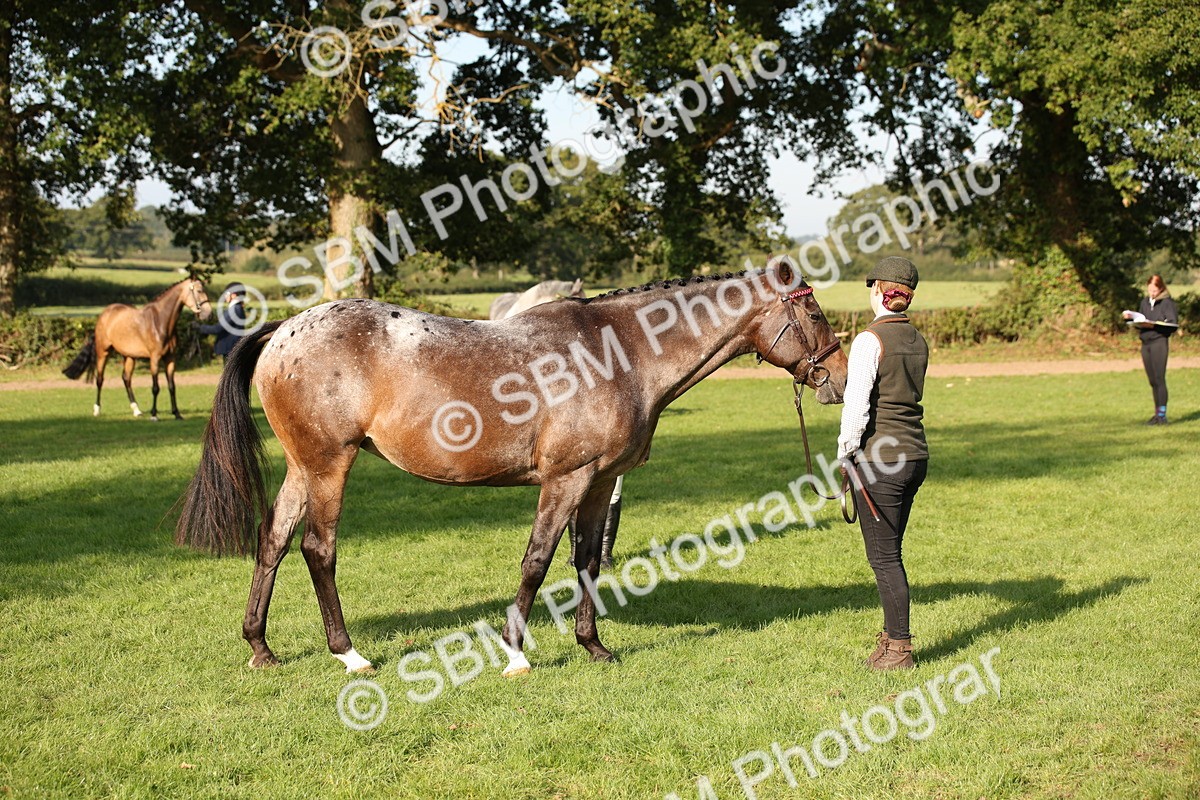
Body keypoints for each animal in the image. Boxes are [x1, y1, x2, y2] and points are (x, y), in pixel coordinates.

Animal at [63, 278, 212, 420]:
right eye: (199, 291)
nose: (209, 313)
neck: (160, 321)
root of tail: (104, 314)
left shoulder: (170, 358)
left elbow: (172, 386)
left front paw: (177, 414)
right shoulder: (154, 358)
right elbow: (155, 387)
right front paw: (154, 415)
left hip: (129, 356)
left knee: (126, 379)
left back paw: (137, 410)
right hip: (103, 352)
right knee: (100, 379)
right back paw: (97, 410)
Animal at [174, 256, 847, 676]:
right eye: (815, 315)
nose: (840, 378)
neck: (620, 352)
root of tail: (284, 329)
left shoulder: (599, 481)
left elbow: (586, 561)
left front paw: (593, 646)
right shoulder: (565, 479)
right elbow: (537, 560)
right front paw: (517, 653)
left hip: (301, 467)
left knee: (273, 540)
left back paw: (260, 647)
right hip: (328, 466)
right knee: (318, 548)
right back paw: (349, 654)